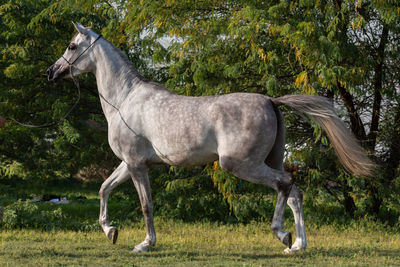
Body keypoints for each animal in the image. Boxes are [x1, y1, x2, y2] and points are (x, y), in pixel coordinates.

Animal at [47, 22, 376, 253]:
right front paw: (110, 231)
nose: (52, 72)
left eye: (72, 45)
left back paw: (282, 235)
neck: (125, 100)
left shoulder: (137, 165)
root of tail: (270, 100)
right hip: (270, 161)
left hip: (241, 165)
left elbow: (146, 205)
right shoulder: (129, 164)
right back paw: (297, 246)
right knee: (295, 193)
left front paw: (145, 243)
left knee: (285, 185)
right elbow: (104, 189)